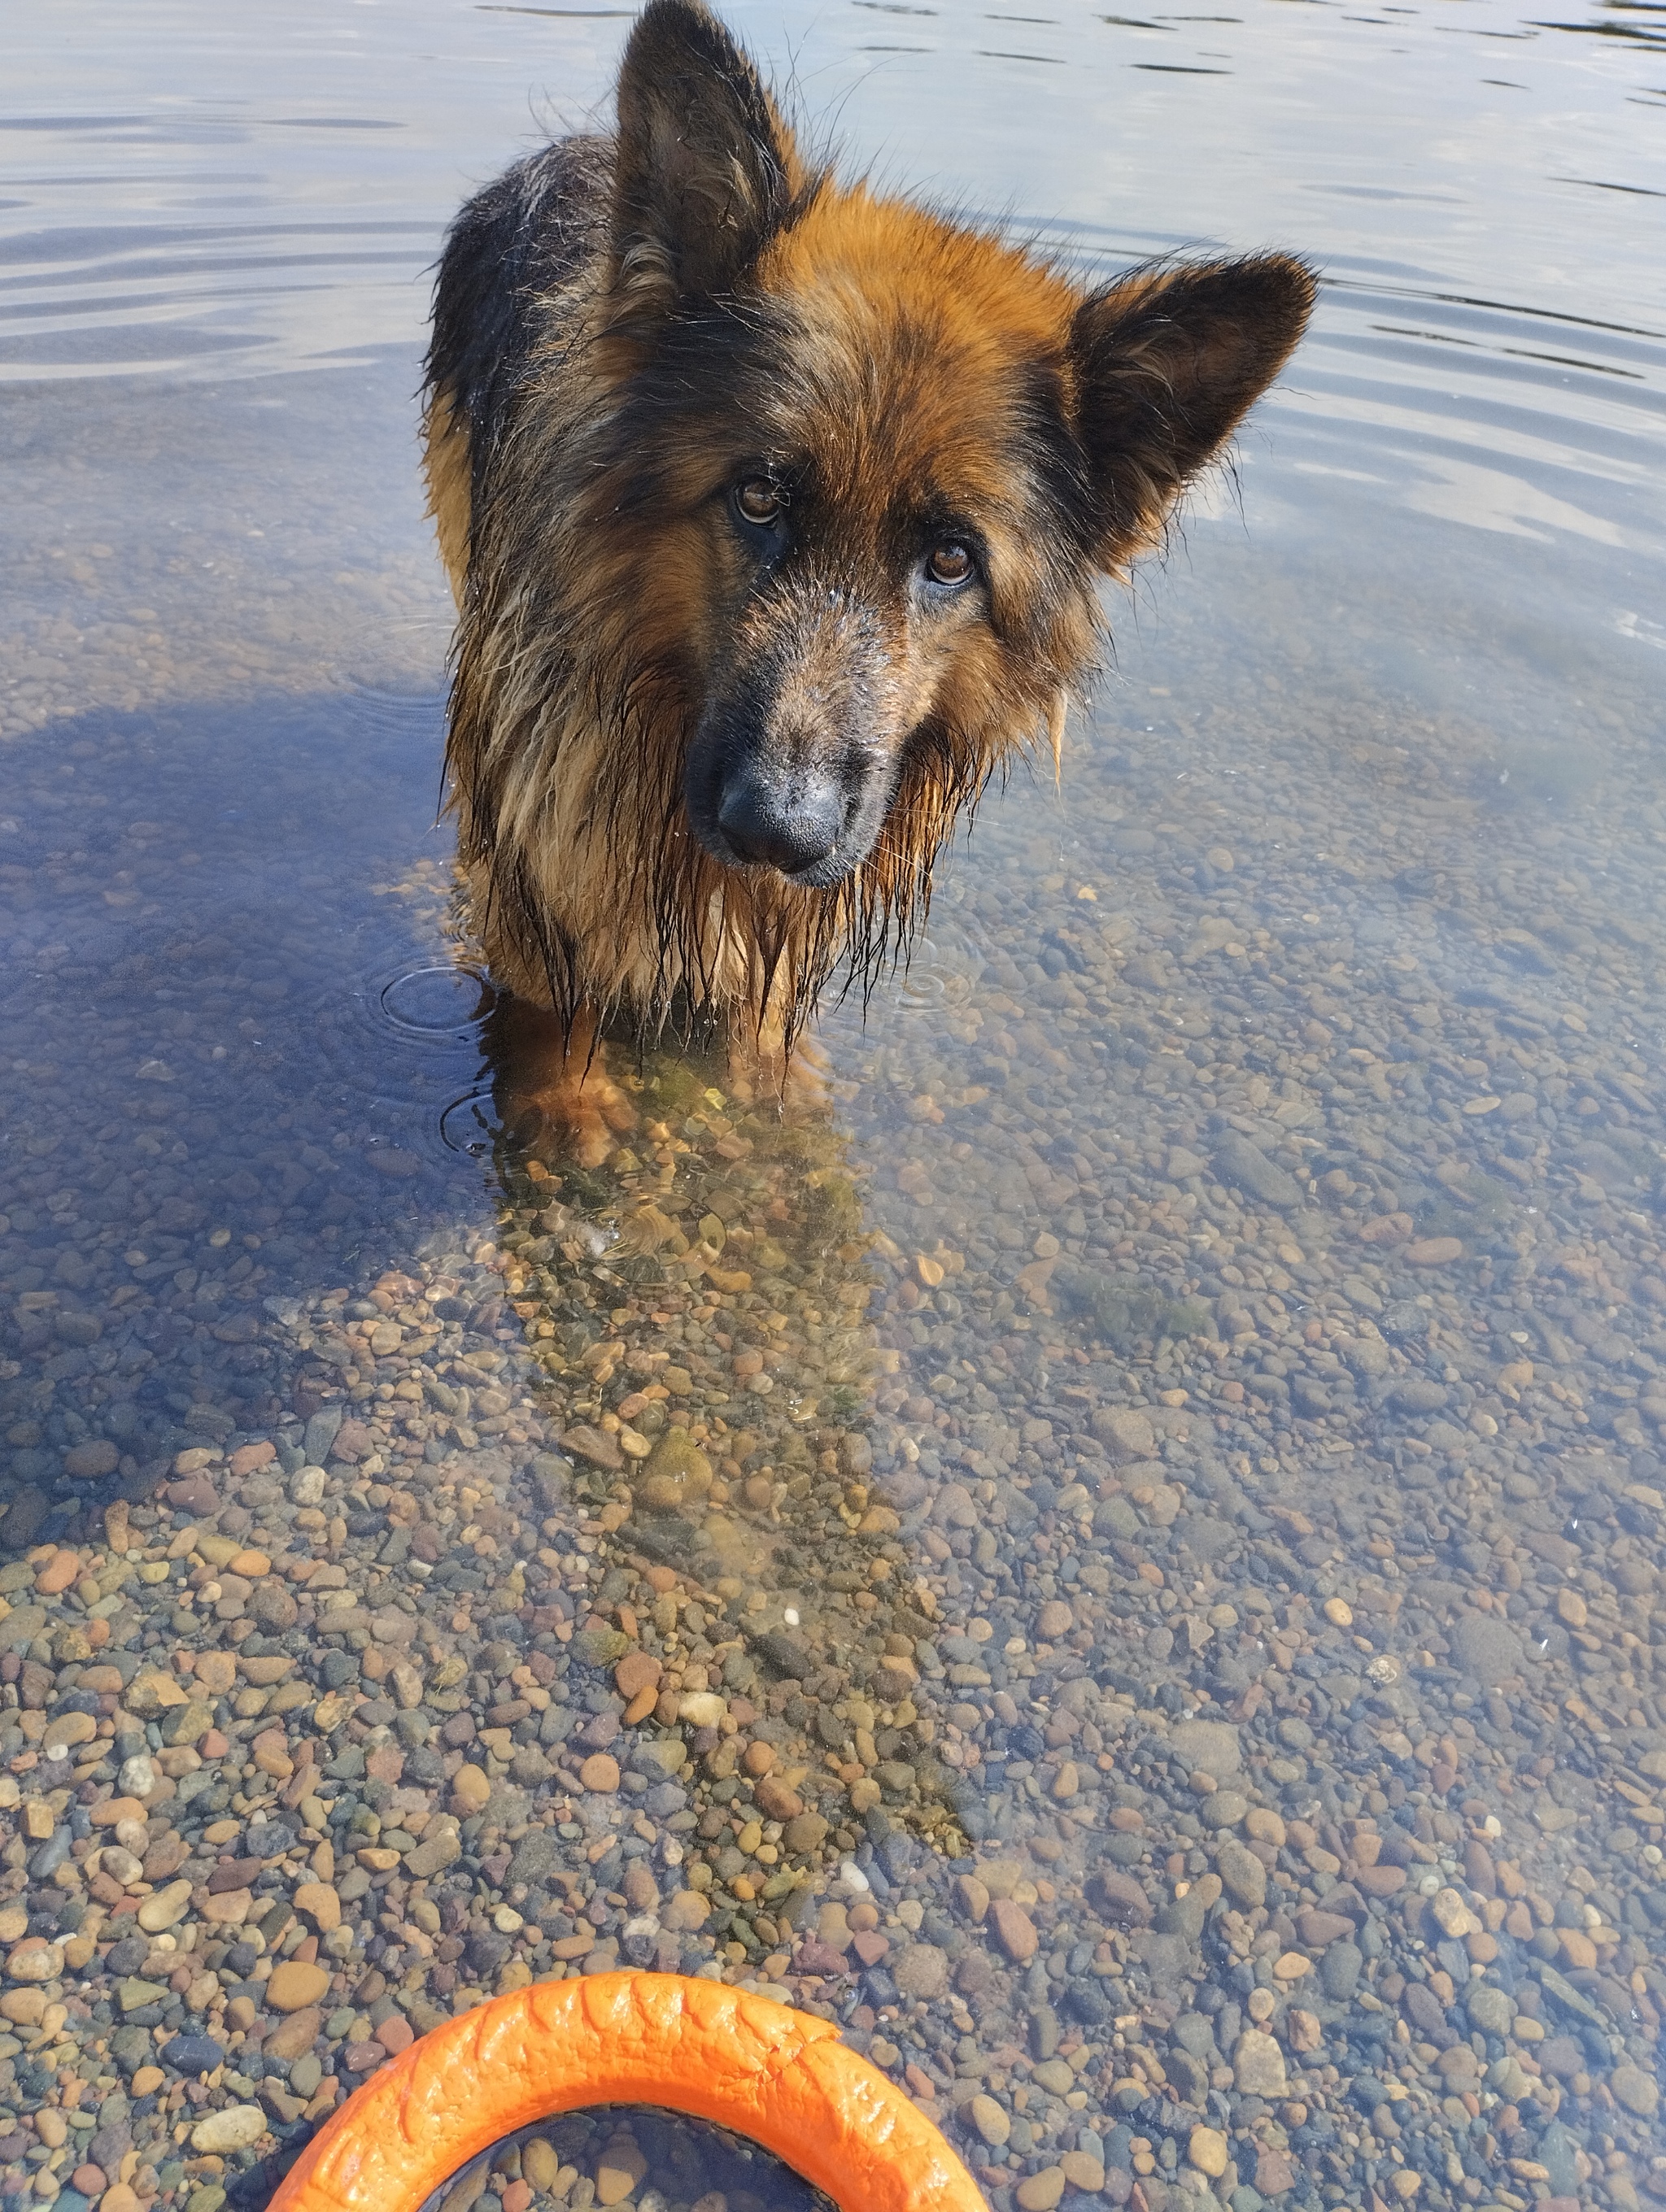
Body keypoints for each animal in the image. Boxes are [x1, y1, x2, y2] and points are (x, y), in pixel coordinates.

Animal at [418, 4, 1310, 1159]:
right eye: (758, 496)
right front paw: (566, 1110)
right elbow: (545, 977)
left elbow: (762, 984)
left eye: (950, 560)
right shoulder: (541, 787)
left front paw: (763, 1082)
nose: (776, 830)